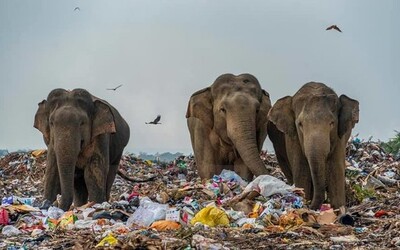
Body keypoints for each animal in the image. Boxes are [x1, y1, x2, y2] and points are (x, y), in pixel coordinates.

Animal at [268, 81, 358, 209]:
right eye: (300, 124)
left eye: (332, 123)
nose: (310, 205)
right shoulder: (293, 138)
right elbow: (301, 171)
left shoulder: (340, 138)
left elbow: (336, 171)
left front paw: (339, 209)